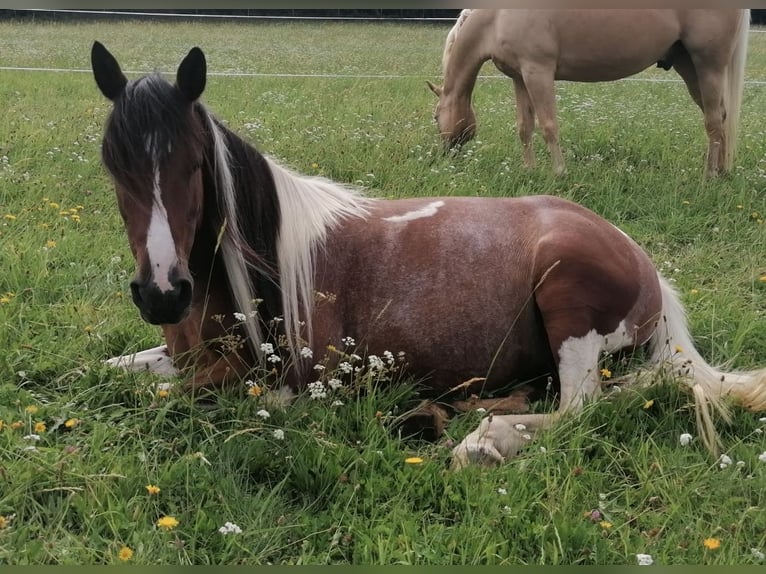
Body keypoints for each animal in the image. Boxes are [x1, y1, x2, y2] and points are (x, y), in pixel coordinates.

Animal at [91, 41, 766, 468]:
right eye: (112, 164)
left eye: (192, 162)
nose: (162, 293)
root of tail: (640, 258)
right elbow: (112, 372)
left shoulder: (297, 379)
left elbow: (208, 394)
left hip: (568, 303)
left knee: (586, 410)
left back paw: (485, 440)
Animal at [427, 9, 750, 177]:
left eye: (435, 117)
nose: (445, 156)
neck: (496, 16)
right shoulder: (520, 77)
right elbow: (525, 127)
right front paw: (529, 170)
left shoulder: (538, 71)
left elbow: (549, 126)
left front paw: (559, 173)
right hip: (689, 66)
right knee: (720, 118)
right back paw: (722, 171)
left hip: (708, 64)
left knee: (712, 122)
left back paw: (708, 177)